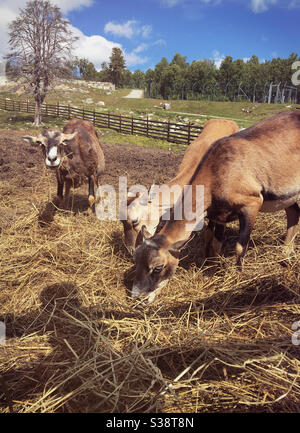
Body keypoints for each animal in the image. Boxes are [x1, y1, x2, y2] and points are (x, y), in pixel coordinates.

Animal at [132, 110, 300, 300]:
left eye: (158, 267)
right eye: (136, 260)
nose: (137, 296)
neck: (217, 173)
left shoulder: (252, 203)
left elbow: (239, 247)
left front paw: (238, 277)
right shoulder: (219, 216)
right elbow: (214, 243)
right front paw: (211, 269)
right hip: (287, 195)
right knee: (294, 213)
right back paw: (285, 254)